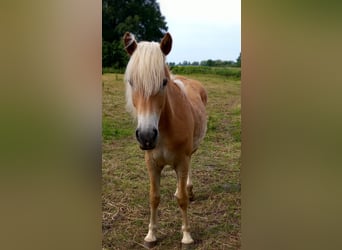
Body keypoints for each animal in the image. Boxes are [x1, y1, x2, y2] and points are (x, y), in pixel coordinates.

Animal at [123, 31, 208, 246]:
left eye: (163, 82)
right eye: (131, 82)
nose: (146, 136)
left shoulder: (182, 161)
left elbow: (183, 200)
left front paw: (186, 236)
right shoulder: (152, 164)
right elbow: (154, 197)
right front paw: (151, 235)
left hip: (190, 152)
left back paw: (187, 189)